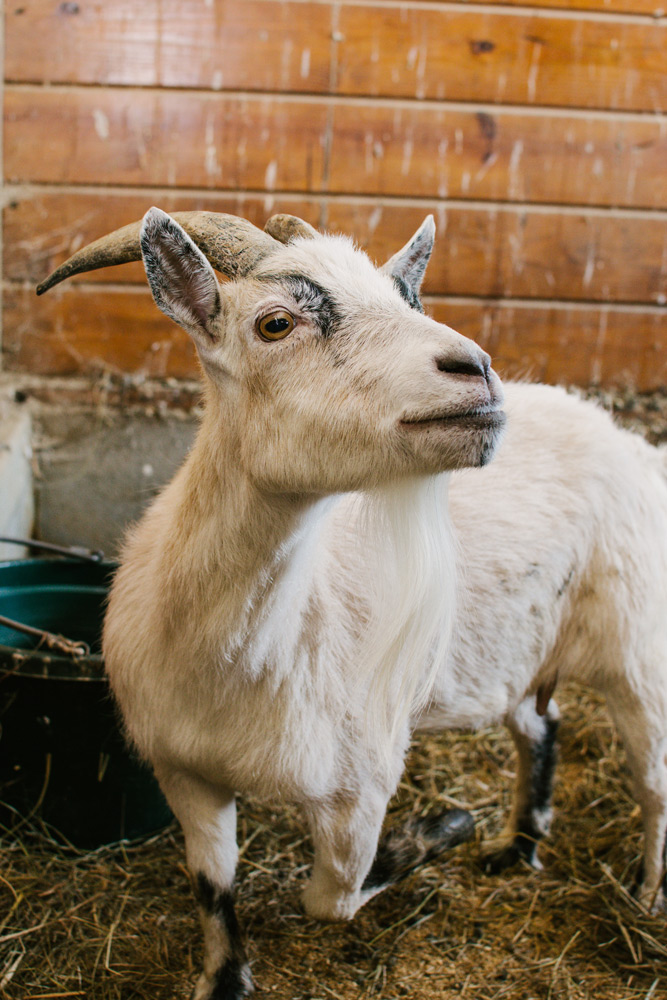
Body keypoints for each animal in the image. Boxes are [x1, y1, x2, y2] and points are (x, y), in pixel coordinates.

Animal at [37, 209, 667, 1000]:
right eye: (275, 323)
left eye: (407, 300)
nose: (475, 370)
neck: (238, 660)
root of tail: (624, 436)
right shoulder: (184, 771)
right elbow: (212, 884)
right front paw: (225, 978)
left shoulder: (358, 784)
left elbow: (330, 899)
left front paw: (439, 832)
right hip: (519, 651)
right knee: (541, 726)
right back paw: (518, 847)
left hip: (639, 648)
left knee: (654, 782)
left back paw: (643, 896)